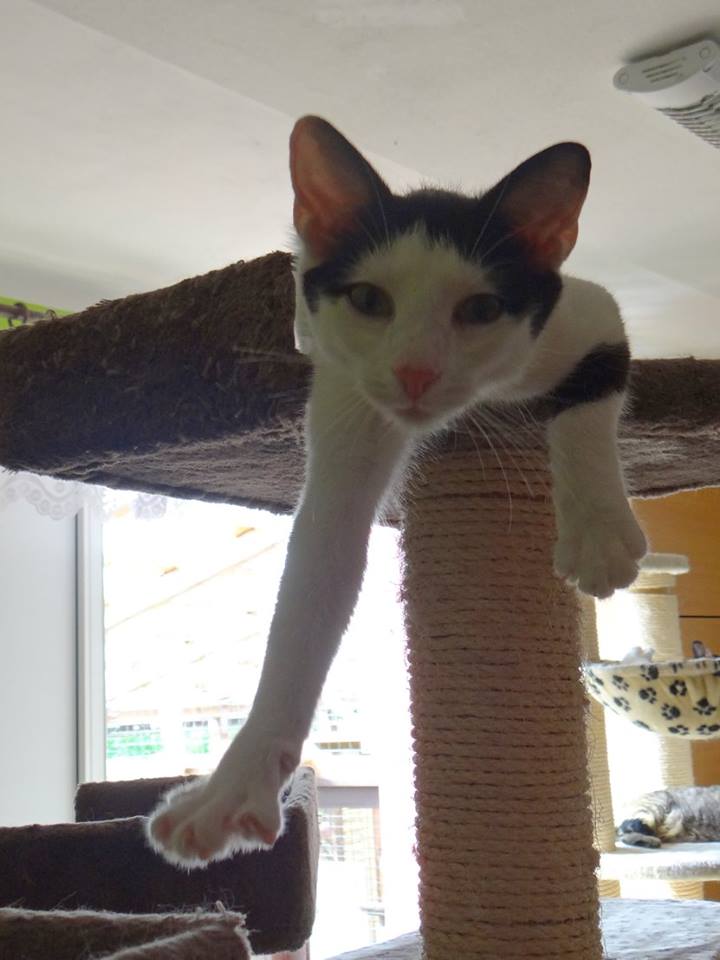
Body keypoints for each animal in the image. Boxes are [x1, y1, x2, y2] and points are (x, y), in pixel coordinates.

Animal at [146, 116, 647, 866]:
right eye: (368, 299)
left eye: (482, 307)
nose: (415, 371)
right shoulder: (347, 388)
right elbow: (316, 577)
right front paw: (232, 786)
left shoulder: (572, 316)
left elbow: (590, 393)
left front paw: (597, 531)